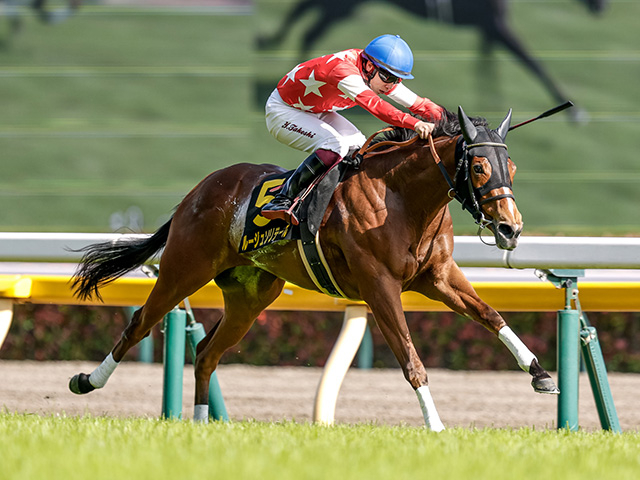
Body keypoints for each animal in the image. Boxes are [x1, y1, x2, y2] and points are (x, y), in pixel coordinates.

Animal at [68, 106, 559, 430]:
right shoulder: (379, 285)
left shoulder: (437, 277)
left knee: (207, 352)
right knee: (139, 323)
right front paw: (435, 426)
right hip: (184, 268)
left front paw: (539, 373)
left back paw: (202, 422)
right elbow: (410, 358)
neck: (401, 196)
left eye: (511, 166)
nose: (510, 228)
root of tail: (200, 190)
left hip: (251, 296)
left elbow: (491, 315)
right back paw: (87, 381)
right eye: (478, 166)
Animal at [257, 0, 608, 120]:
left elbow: (487, 64)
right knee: (309, 23)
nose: (601, 7)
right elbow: (533, 63)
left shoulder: (489, 28)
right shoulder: (497, 25)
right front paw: (574, 110)